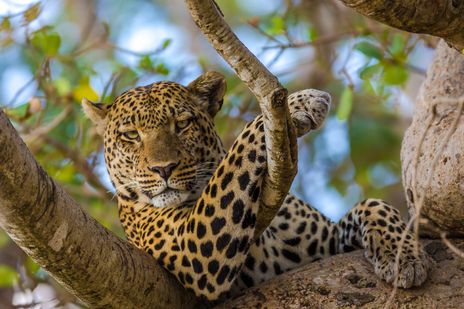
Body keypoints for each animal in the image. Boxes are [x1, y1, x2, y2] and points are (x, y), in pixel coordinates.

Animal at [82, 71, 432, 300]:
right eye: (131, 135)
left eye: (182, 124)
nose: (163, 168)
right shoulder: (193, 247)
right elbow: (242, 142)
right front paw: (299, 102)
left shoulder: (326, 243)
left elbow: (373, 205)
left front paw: (404, 255)